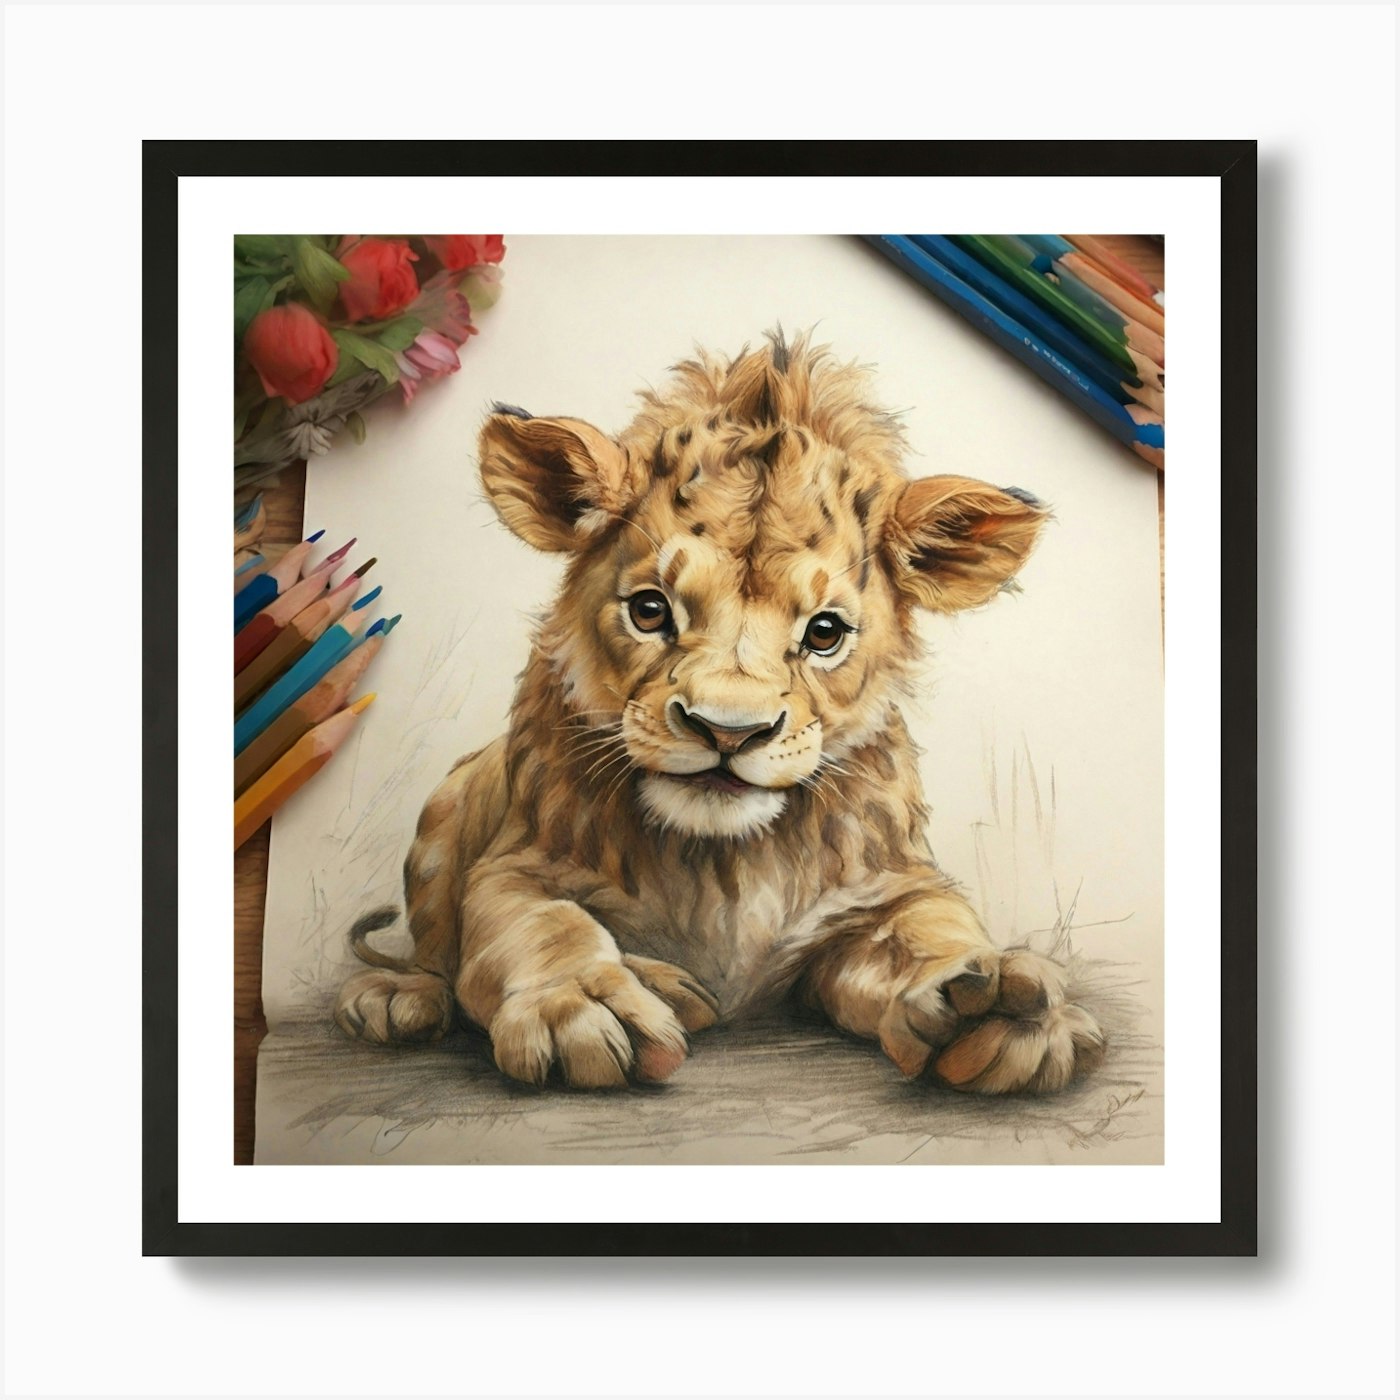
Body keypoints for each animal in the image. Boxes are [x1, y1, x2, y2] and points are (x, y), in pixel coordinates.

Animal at [335, 331, 1105, 1094]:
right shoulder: (517, 863)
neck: (724, 859)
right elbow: (535, 922)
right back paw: (414, 995)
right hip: (448, 801)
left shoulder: (887, 891)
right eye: (651, 610)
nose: (728, 731)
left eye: (824, 632)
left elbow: (930, 928)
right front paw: (577, 1006)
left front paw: (1002, 1008)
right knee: (434, 944)